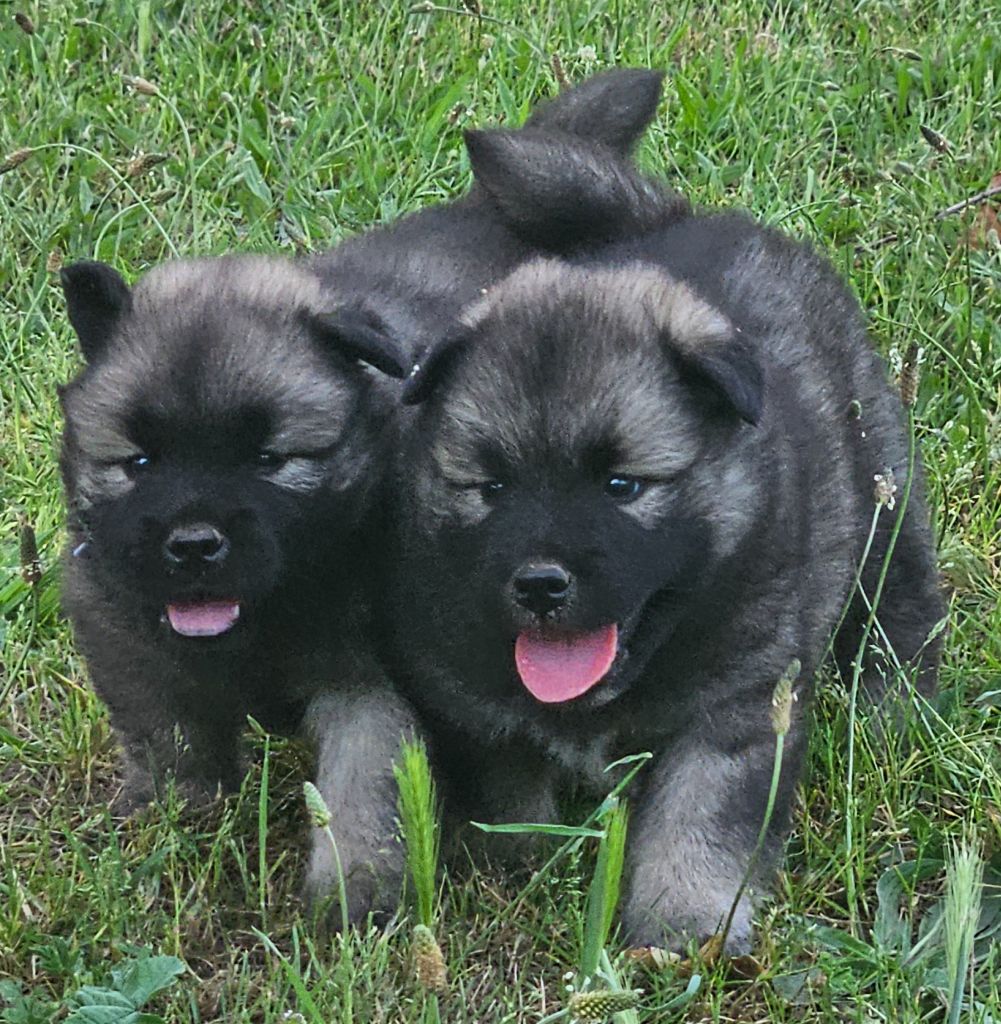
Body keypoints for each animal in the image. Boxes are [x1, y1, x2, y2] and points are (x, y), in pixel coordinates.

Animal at [54, 68, 663, 925]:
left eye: (271, 460)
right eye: (137, 462)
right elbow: (170, 744)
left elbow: (364, 785)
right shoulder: (130, 641)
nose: (194, 544)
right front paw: (170, 826)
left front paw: (356, 899)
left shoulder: (372, 682)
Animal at [386, 128, 941, 950]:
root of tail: (686, 217)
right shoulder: (465, 697)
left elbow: (697, 818)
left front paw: (682, 928)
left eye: (622, 486)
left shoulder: (735, 709)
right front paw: (521, 864)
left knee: (898, 590)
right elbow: (507, 785)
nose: (540, 584)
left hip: (879, 479)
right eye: (492, 488)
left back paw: (895, 705)